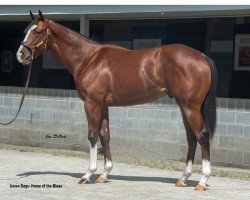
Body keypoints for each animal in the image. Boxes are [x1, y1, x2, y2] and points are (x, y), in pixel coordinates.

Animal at [17, 10, 217, 191]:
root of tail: (201, 56)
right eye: (25, 30)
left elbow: (92, 135)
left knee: (202, 135)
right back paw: (183, 179)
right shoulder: (103, 105)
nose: (21, 56)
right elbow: (105, 135)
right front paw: (104, 174)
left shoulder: (91, 103)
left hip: (190, 107)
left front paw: (88, 175)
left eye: (37, 31)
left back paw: (202, 181)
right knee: (191, 137)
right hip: (184, 106)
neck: (89, 59)